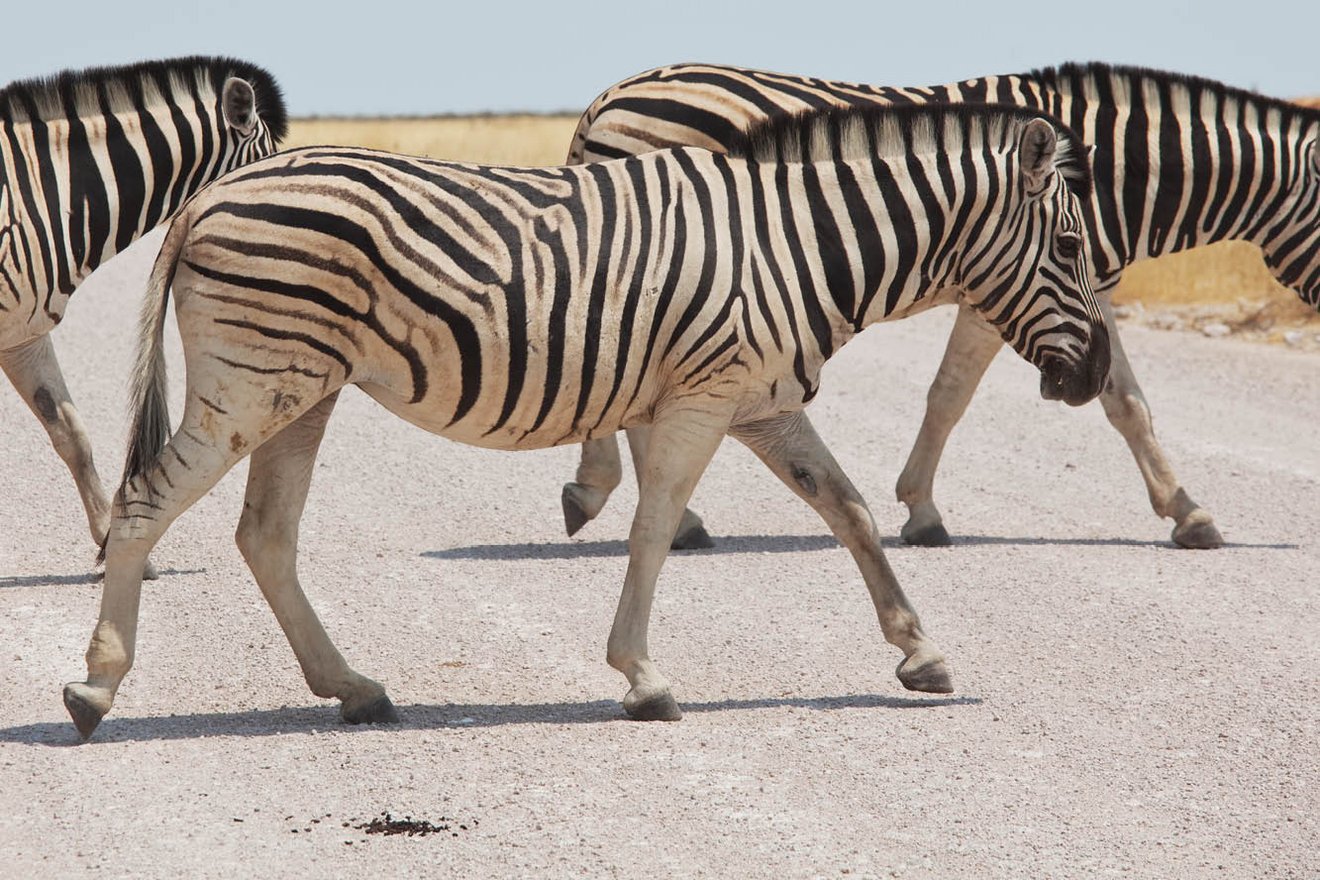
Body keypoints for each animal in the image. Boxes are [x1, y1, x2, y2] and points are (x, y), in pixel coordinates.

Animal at [64, 99, 1114, 738]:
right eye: (1069, 249)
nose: (1099, 374)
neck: (793, 247)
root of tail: (210, 195)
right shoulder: (702, 398)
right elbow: (655, 528)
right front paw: (643, 678)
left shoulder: (764, 403)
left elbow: (848, 512)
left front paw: (920, 653)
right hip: (255, 383)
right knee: (145, 506)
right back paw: (95, 686)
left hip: (301, 389)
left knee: (265, 533)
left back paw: (354, 690)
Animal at [557, 62, 1320, 551]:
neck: (1115, 166)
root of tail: (608, 95)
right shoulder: (1022, 287)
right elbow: (956, 395)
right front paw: (923, 513)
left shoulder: (1074, 289)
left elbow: (1125, 401)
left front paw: (1186, 514)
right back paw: (665, 517)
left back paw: (619, 500)